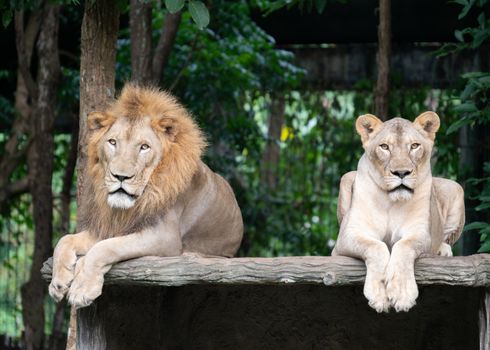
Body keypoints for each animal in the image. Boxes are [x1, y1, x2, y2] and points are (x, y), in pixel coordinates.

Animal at [48, 84, 244, 306]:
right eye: (112, 142)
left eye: (144, 147)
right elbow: (65, 240)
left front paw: (82, 288)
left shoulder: (164, 238)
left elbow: (105, 248)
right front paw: (58, 282)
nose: (120, 176)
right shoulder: (112, 226)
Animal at [334, 113, 464, 314]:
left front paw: (403, 294)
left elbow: (404, 246)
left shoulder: (420, 232)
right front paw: (380, 295)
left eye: (414, 146)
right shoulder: (347, 235)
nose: (401, 172)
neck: (390, 201)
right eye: (385, 147)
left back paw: (443, 250)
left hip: (455, 187)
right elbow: (376, 246)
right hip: (346, 177)